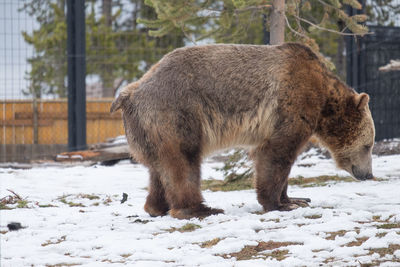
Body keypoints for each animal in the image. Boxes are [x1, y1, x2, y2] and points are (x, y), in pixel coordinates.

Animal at [110, 43, 376, 220]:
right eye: (368, 145)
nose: (367, 174)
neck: (324, 98)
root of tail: (128, 94)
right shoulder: (292, 102)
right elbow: (277, 153)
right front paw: (280, 204)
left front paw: (296, 199)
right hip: (175, 113)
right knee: (183, 164)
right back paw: (201, 209)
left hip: (148, 129)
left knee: (159, 168)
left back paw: (156, 207)